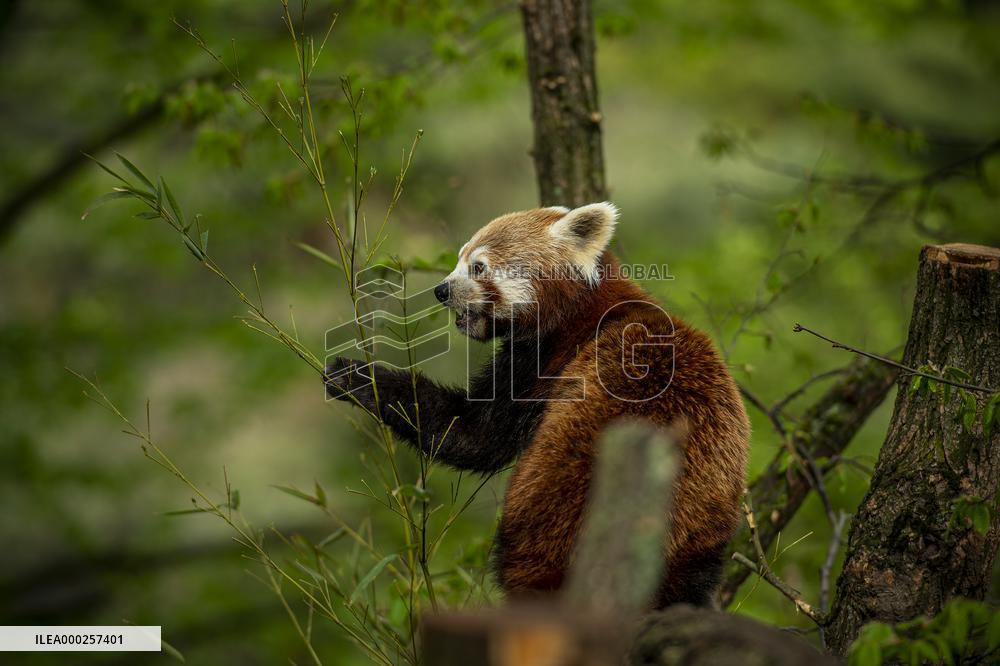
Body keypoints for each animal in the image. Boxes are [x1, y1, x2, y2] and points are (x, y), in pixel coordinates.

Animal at [325, 202, 749, 608]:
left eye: (478, 266)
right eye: (458, 257)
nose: (441, 290)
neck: (577, 310)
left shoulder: (544, 364)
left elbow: (475, 435)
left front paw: (357, 376)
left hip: (554, 495)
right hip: (702, 529)